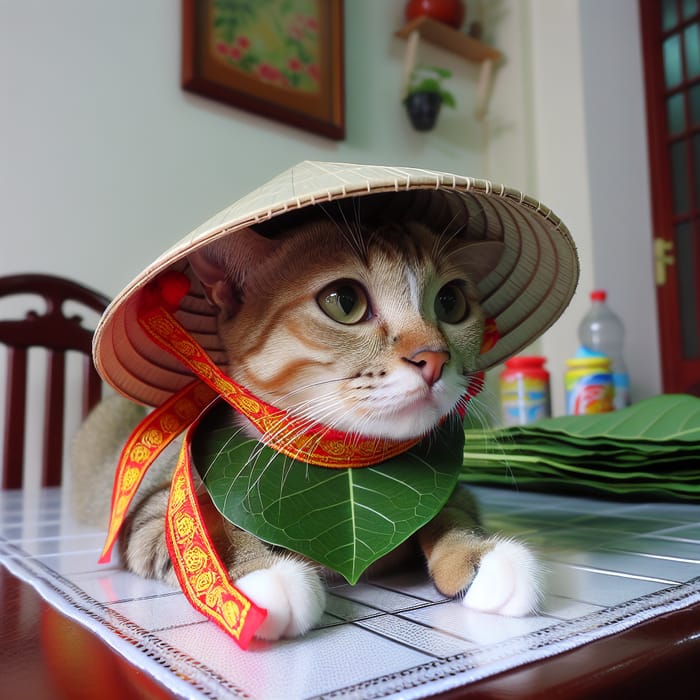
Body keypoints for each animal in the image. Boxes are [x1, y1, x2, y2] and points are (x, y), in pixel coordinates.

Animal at [72, 212, 540, 640]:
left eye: (451, 302)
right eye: (344, 301)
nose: (435, 358)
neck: (347, 466)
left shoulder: (443, 490)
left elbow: (455, 510)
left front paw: (480, 554)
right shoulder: (154, 505)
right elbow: (196, 525)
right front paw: (260, 571)